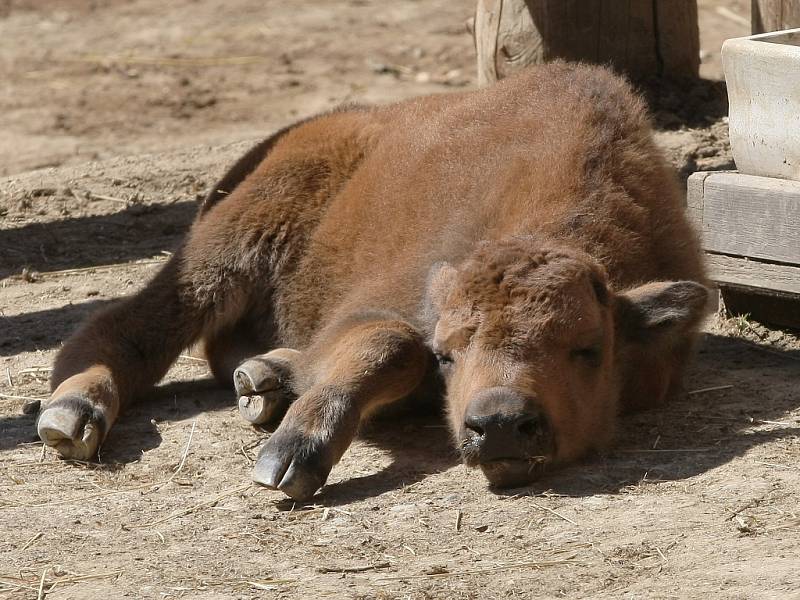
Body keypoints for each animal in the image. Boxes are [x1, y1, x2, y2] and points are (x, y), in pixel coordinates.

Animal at [40, 62, 708, 502]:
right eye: (449, 353)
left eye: (589, 349)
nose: (497, 425)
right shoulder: (372, 312)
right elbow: (392, 345)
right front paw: (289, 458)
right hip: (228, 248)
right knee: (126, 328)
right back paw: (72, 414)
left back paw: (264, 378)